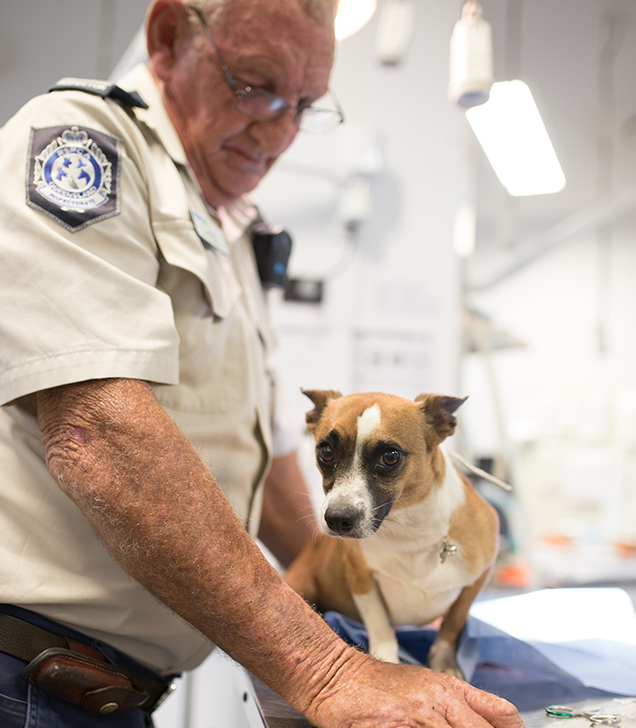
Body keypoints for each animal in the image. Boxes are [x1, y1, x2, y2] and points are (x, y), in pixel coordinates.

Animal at [286, 390, 500, 680]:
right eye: (326, 451)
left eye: (390, 456)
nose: (337, 519)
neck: (410, 530)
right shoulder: (360, 576)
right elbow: (379, 623)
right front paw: (386, 660)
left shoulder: (479, 578)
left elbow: (454, 622)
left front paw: (444, 661)